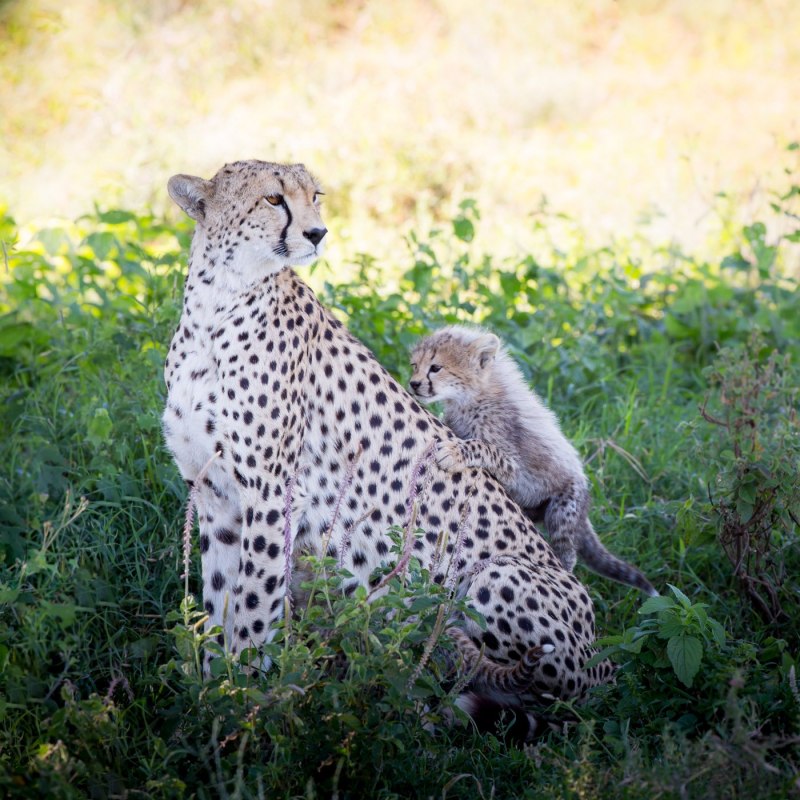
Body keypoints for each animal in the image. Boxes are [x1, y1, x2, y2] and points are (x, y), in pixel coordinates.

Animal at [161, 160, 615, 736]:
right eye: (272, 199)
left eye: (315, 196)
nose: (317, 233)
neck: (217, 301)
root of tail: (599, 648)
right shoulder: (217, 498)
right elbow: (220, 603)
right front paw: (210, 697)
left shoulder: (271, 496)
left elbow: (253, 609)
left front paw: (243, 703)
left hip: (497, 576)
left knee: (552, 691)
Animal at [409, 325, 657, 597]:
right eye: (415, 365)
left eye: (435, 367)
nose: (414, 383)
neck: (472, 397)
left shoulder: (513, 466)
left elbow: (483, 447)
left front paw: (454, 452)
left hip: (562, 510)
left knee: (567, 554)